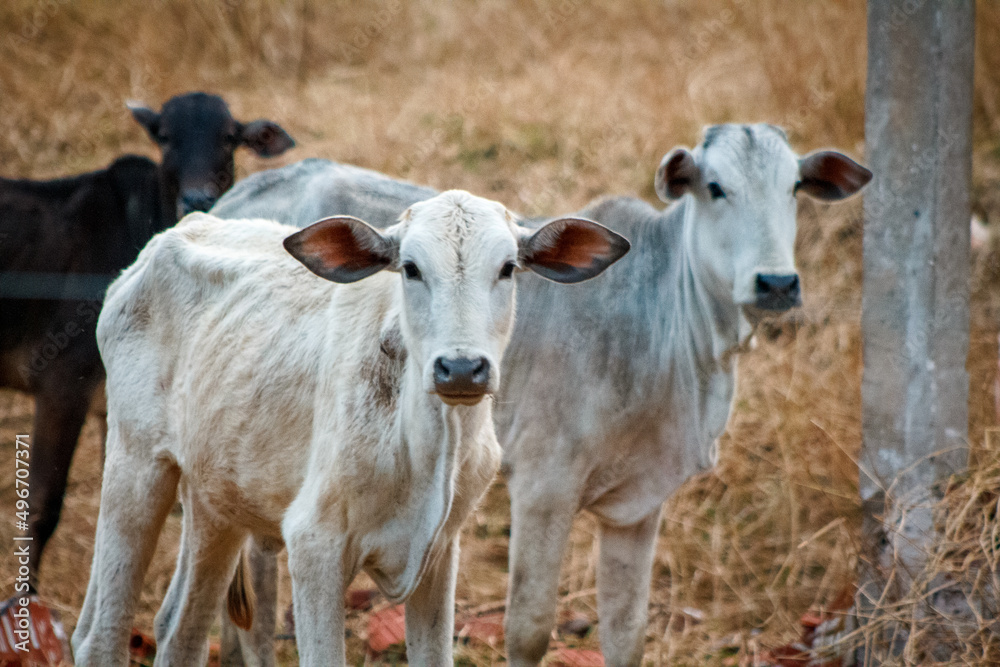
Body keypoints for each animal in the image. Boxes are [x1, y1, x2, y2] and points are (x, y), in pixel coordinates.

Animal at [74, 189, 628, 667]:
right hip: (135, 465)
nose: (460, 368)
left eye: (508, 268)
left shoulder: (440, 552)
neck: (429, 443)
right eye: (411, 268)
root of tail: (166, 240)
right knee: (97, 637)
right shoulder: (313, 546)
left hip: (215, 503)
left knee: (178, 634)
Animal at [213, 124, 876, 664]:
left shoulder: (640, 505)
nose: (777, 284)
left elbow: (626, 634)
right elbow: (529, 629)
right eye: (715, 188)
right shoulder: (543, 485)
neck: (669, 319)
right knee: (257, 613)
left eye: (795, 188)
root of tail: (237, 198)